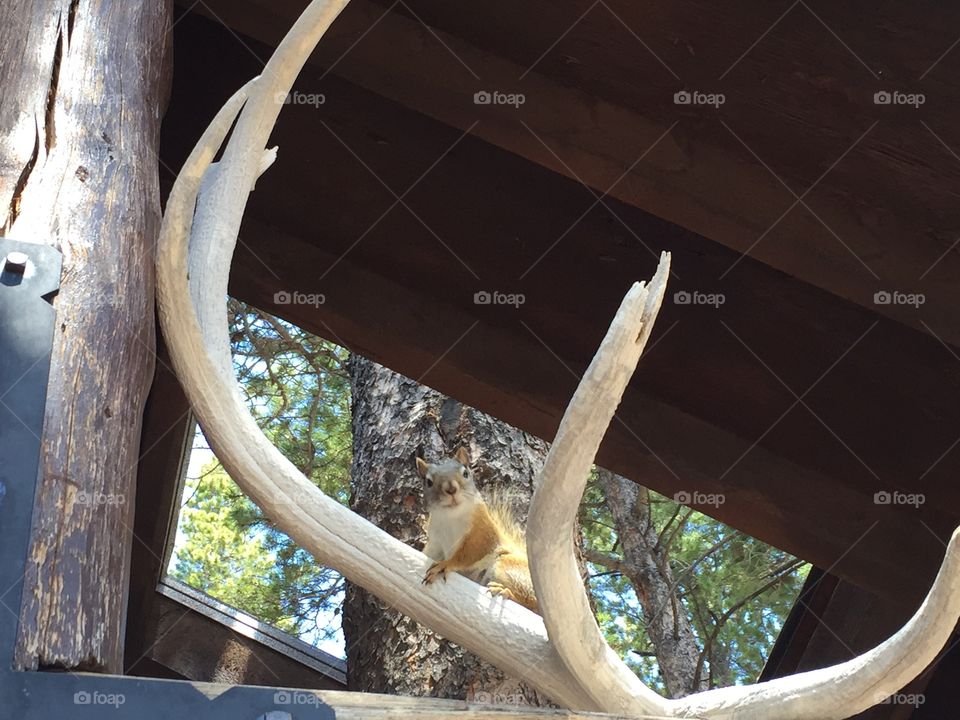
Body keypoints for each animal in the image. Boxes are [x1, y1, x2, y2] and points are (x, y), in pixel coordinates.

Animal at [414, 448, 540, 612]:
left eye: (465, 473)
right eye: (428, 482)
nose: (451, 489)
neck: (451, 516)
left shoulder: (482, 535)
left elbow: (467, 555)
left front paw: (445, 564)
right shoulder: (436, 541)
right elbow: (430, 553)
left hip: (507, 565)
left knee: (533, 603)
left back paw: (505, 591)